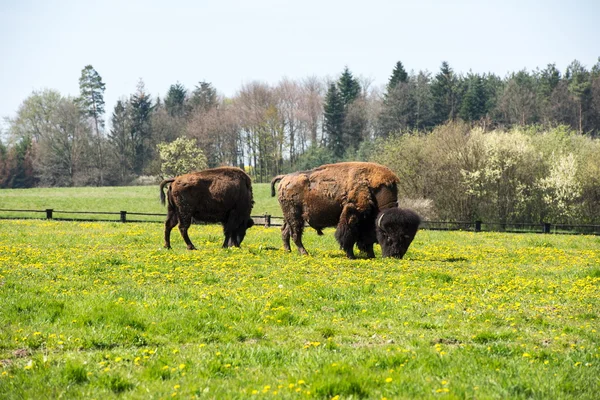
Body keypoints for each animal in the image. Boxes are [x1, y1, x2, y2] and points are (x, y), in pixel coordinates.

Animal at [270, 162, 420, 260]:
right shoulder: (353, 213)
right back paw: (304, 253)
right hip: (295, 216)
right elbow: (349, 235)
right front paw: (351, 256)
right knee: (295, 235)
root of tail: (285, 178)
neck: (374, 190)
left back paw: (288, 251)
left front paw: (370, 255)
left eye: (408, 238)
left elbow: (366, 239)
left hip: (288, 216)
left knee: (285, 231)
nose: (395, 255)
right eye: (388, 236)